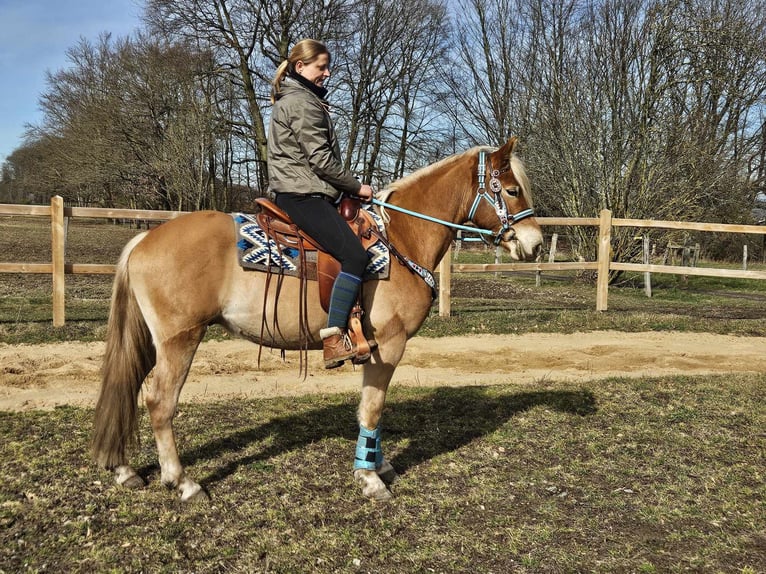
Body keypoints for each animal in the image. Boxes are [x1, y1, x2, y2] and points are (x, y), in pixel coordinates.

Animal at [91, 137, 544, 502]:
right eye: (511, 189)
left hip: (152, 342)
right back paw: (183, 482)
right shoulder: (388, 346)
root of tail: (144, 239)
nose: (536, 244)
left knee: (127, 386)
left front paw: (377, 464)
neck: (401, 238)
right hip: (179, 340)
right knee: (159, 402)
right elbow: (373, 409)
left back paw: (124, 470)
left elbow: (371, 408)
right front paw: (370, 478)